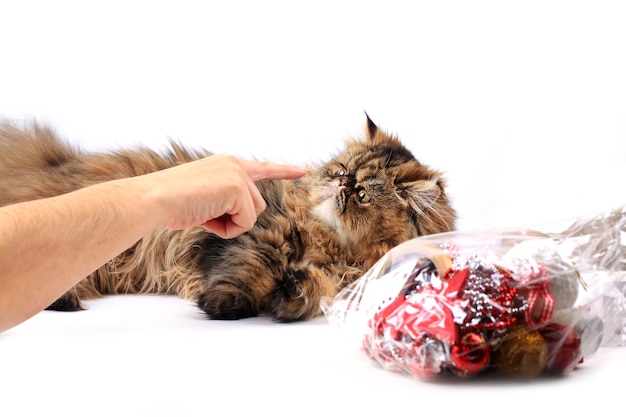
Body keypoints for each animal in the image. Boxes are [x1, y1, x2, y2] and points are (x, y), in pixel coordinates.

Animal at [0, 115, 454, 320]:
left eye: (362, 195)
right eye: (342, 171)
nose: (341, 185)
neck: (330, 244)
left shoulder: (342, 281)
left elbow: (314, 290)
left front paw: (292, 291)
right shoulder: (257, 233)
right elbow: (248, 270)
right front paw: (224, 303)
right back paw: (63, 299)